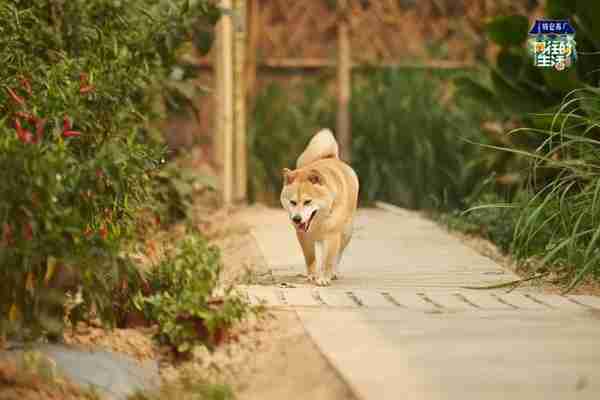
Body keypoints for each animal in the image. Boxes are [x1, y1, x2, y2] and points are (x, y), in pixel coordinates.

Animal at [280, 130, 358, 286]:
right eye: (292, 202)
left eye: (308, 202)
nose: (297, 219)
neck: (317, 222)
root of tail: (332, 157)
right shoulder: (303, 236)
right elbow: (310, 258)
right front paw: (312, 275)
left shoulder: (332, 235)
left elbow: (329, 260)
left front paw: (324, 278)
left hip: (346, 232)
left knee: (338, 255)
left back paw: (334, 273)